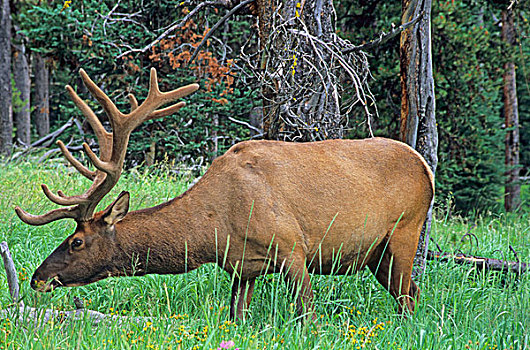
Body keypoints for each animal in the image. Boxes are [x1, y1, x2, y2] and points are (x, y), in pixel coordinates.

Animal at [15, 68, 434, 320]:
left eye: (76, 241)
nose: (37, 278)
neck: (214, 230)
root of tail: (426, 167)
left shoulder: (293, 248)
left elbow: (307, 314)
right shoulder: (242, 267)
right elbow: (237, 317)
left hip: (405, 230)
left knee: (411, 294)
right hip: (376, 254)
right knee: (409, 292)